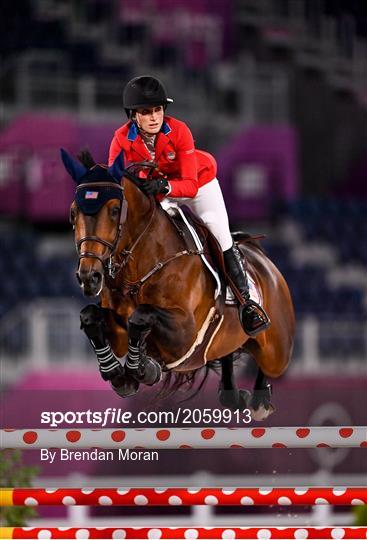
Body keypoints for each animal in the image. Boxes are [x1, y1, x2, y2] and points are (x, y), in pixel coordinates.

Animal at [60, 149, 296, 422]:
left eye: (114, 209)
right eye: (73, 213)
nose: (89, 277)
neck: (141, 265)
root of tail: (265, 261)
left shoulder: (185, 334)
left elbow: (141, 316)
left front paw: (143, 368)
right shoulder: (118, 332)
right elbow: (91, 315)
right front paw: (120, 374)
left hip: (277, 349)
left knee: (269, 363)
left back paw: (259, 399)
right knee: (226, 353)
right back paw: (234, 395)